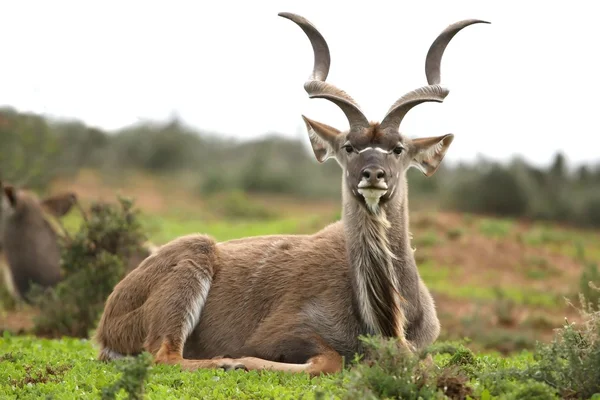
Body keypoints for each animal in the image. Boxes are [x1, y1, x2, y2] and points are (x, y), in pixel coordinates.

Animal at [94, 11, 488, 376]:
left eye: (398, 149)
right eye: (349, 146)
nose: (372, 175)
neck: (386, 322)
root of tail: (105, 325)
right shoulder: (283, 334)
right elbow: (327, 360)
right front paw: (239, 360)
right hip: (194, 257)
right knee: (165, 356)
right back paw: (226, 362)